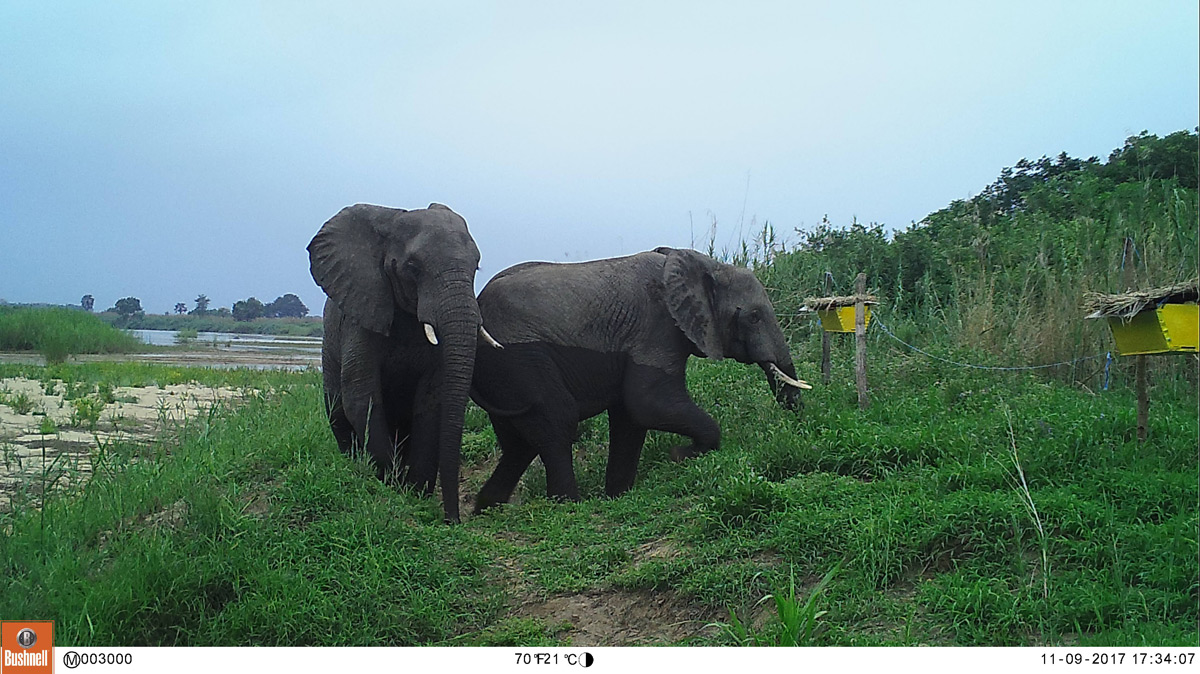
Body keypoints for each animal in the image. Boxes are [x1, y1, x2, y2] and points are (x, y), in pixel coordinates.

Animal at [309, 201, 501, 522]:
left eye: (476, 267)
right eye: (413, 268)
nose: (454, 520)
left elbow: (431, 400)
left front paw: (415, 492)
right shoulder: (362, 312)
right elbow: (362, 396)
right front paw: (390, 485)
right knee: (338, 414)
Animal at [468, 243, 806, 510]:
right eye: (754, 316)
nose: (799, 423)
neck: (701, 263)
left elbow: (630, 419)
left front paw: (617, 495)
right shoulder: (656, 328)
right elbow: (647, 403)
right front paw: (682, 455)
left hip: (504, 374)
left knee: (519, 445)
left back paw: (487, 509)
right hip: (517, 358)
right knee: (557, 421)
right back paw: (567, 506)